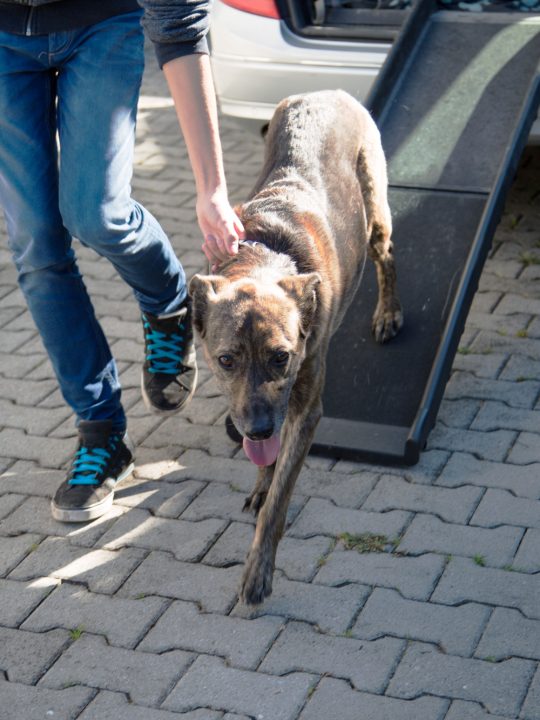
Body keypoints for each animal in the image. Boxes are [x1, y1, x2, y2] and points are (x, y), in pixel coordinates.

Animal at [189, 91, 400, 608]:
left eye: (281, 357)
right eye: (226, 360)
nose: (259, 428)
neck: (265, 259)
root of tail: (327, 93)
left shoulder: (305, 409)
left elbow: (279, 499)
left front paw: (258, 571)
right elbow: (269, 465)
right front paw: (261, 482)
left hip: (376, 211)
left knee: (387, 255)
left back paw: (388, 312)